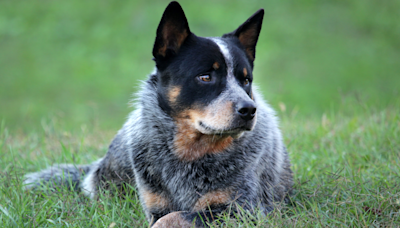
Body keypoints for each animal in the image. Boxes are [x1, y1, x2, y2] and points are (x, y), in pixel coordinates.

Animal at [25, 1, 294, 226]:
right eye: (205, 77)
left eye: (246, 80)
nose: (248, 109)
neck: (189, 155)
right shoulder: (156, 205)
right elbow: (164, 216)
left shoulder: (239, 210)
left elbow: (174, 218)